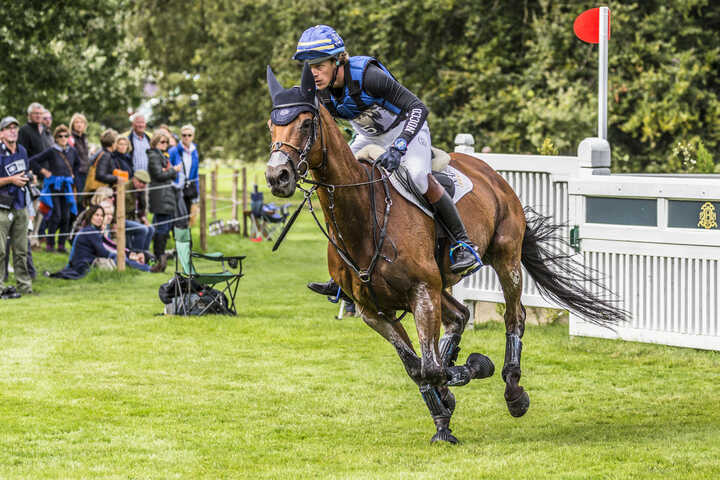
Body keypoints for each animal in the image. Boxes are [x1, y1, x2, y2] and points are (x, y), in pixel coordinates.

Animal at [264, 62, 624, 442]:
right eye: (272, 125)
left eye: (306, 123)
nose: (277, 176)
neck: (364, 215)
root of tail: (490, 172)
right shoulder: (373, 310)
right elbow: (417, 367)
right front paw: (443, 416)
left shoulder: (422, 292)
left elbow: (431, 367)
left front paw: (470, 373)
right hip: (442, 283)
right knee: (460, 316)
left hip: (504, 258)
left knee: (514, 317)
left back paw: (513, 392)